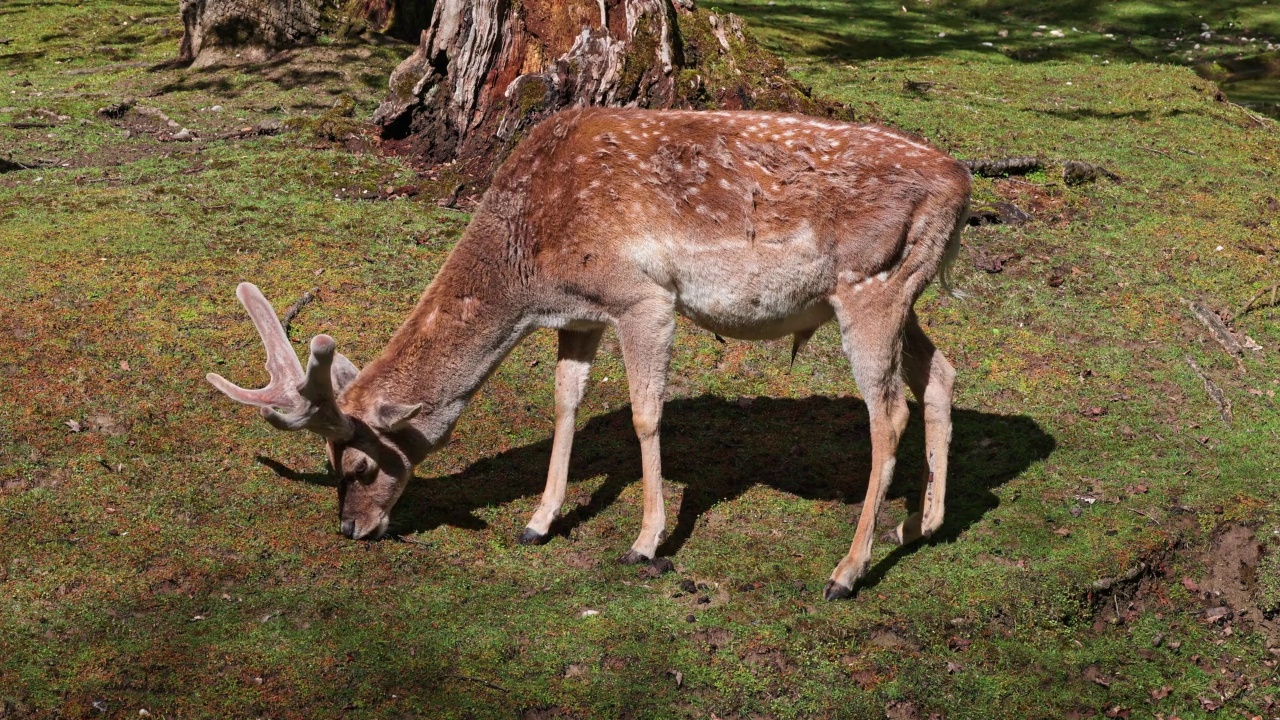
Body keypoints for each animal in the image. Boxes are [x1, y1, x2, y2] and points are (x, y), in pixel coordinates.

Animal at [207, 107, 967, 599]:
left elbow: (645, 414)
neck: (531, 264)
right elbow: (566, 401)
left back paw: (846, 572)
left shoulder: (643, 297)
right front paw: (538, 522)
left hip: (869, 287)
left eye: (360, 464)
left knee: (887, 412)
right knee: (941, 370)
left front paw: (646, 542)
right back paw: (922, 522)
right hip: (903, 291)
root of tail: (963, 188)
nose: (351, 529)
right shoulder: (579, 314)